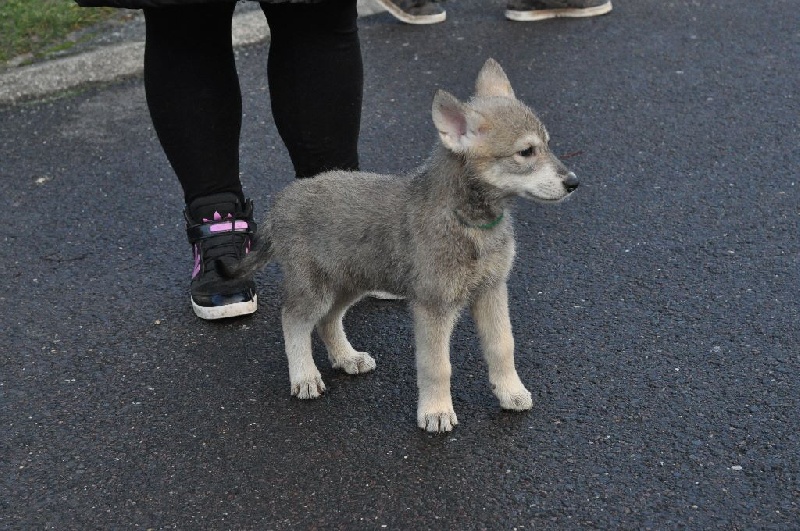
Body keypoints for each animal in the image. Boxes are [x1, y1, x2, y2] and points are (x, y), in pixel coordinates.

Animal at [224, 59, 579, 432]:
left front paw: (511, 392)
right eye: (526, 152)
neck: (468, 221)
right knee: (293, 320)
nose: (574, 183)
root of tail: (280, 202)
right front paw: (436, 411)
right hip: (315, 290)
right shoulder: (433, 306)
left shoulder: (492, 291)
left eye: (548, 145)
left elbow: (502, 346)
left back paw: (347, 357)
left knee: (327, 321)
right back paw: (304, 376)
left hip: (350, 282)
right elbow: (437, 366)